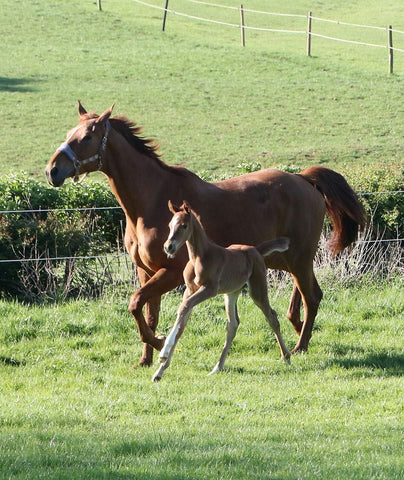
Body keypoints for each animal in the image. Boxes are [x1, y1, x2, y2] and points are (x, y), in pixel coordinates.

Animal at [152, 201, 290, 380]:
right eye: (169, 225)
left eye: (183, 225)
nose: (168, 247)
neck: (200, 257)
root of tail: (255, 250)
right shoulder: (190, 290)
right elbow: (182, 323)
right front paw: (159, 371)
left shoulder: (209, 289)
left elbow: (184, 307)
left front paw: (162, 355)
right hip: (231, 293)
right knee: (233, 324)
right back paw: (217, 367)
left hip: (257, 288)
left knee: (271, 317)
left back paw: (287, 357)